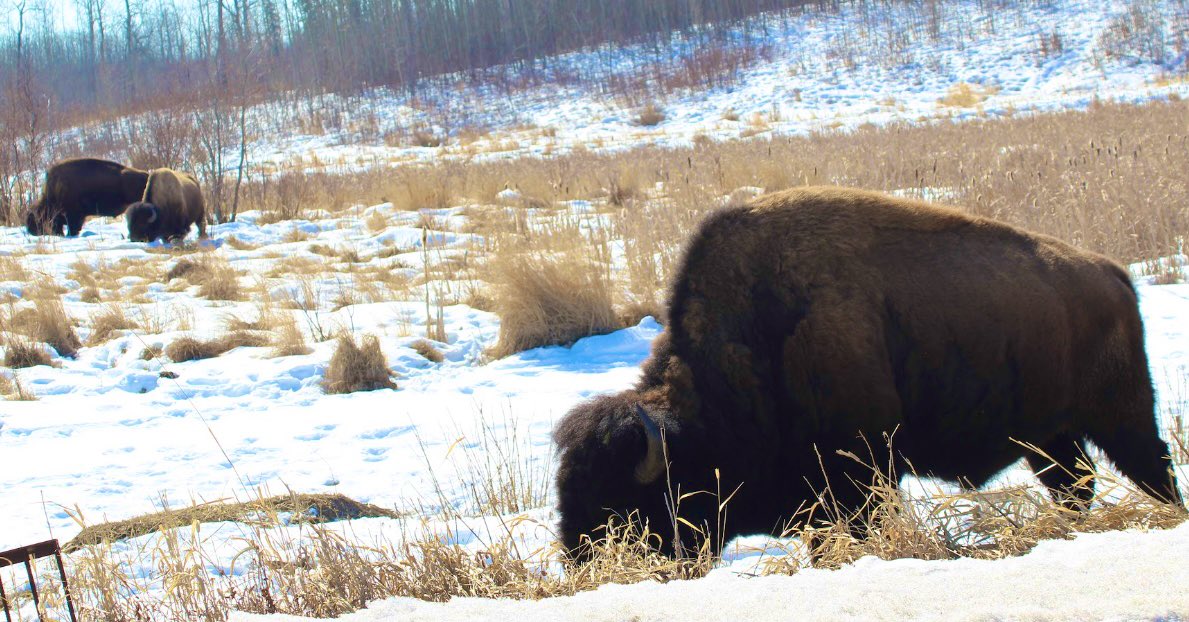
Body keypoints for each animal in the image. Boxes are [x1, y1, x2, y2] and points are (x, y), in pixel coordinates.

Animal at [554, 186, 1184, 559]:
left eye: (619, 503)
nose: (580, 559)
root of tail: (1115, 275)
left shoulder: (862, 475)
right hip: (1051, 437)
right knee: (1075, 484)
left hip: (1121, 418)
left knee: (1150, 467)